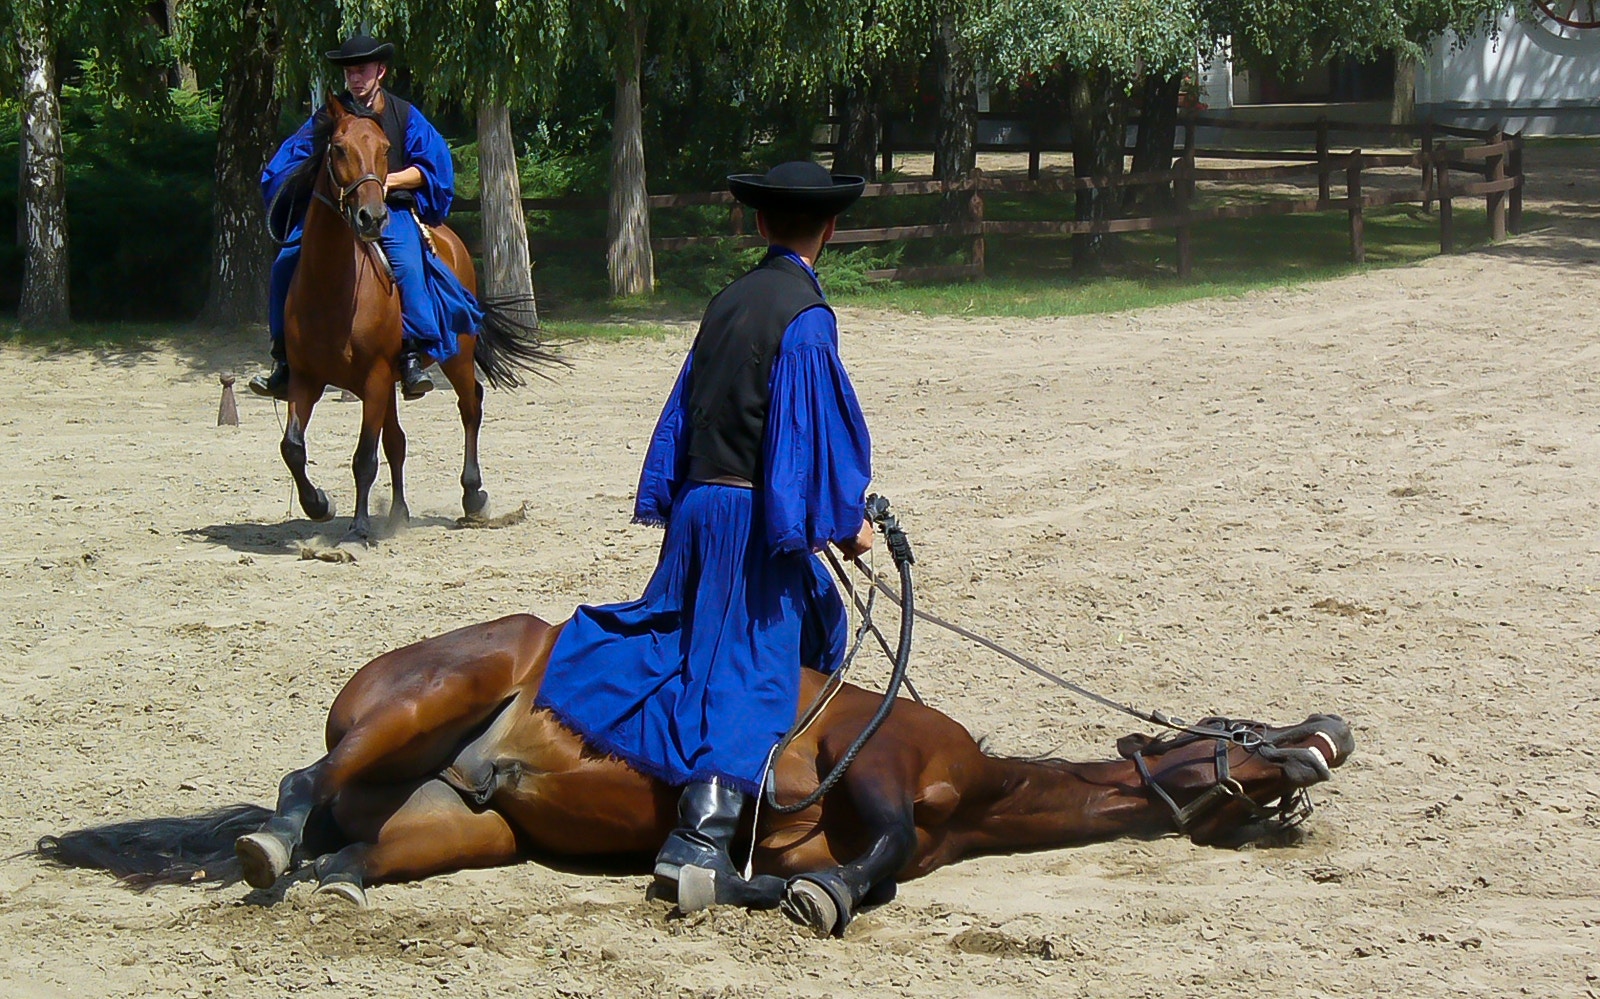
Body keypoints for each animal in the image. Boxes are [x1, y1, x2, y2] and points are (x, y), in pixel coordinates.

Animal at [280, 97, 558, 544]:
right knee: (397, 441)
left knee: (470, 405)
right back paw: (399, 512)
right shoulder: (306, 378)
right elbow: (293, 447)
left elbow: (364, 458)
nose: (372, 217)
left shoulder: (374, 379)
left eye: (384, 149)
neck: (331, 289)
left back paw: (472, 495)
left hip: (454, 357)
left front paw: (358, 528)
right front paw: (318, 504)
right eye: (338, 149)